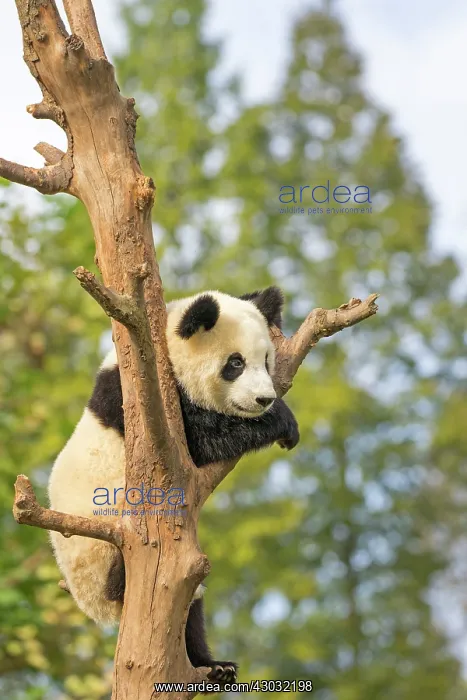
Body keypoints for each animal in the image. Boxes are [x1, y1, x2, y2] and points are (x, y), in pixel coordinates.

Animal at [48, 286, 299, 684]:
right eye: (236, 363)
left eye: (267, 361)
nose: (264, 399)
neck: (162, 351)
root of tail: (94, 605)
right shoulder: (139, 403)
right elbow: (201, 436)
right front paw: (282, 422)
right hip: (103, 550)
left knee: (191, 604)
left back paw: (213, 666)